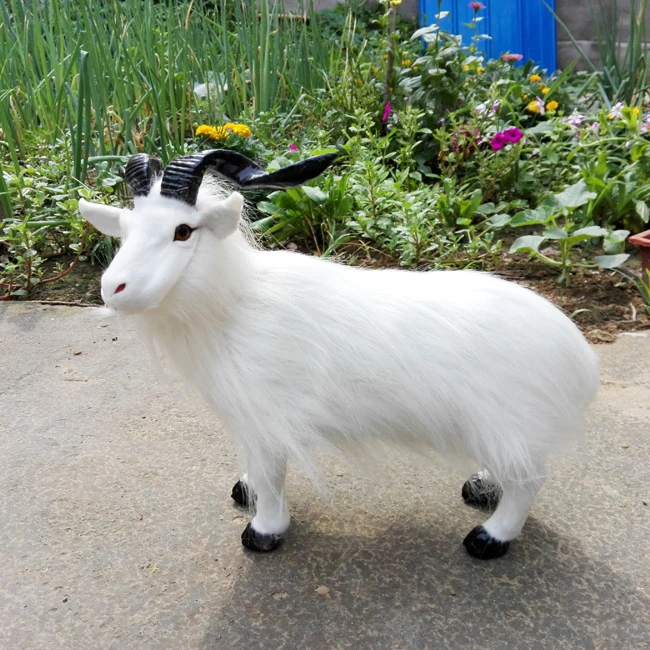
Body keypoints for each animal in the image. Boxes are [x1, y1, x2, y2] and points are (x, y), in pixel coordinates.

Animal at [79, 150, 600, 560]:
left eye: (183, 231)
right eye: (125, 230)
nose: (113, 288)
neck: (233, 303)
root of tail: (578, 355)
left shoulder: (267, 419)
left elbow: (271, 476)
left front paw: (263, 531)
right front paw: (244, 489)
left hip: (509, 423)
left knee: (528, 483)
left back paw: (489, 538)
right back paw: (481, 486)